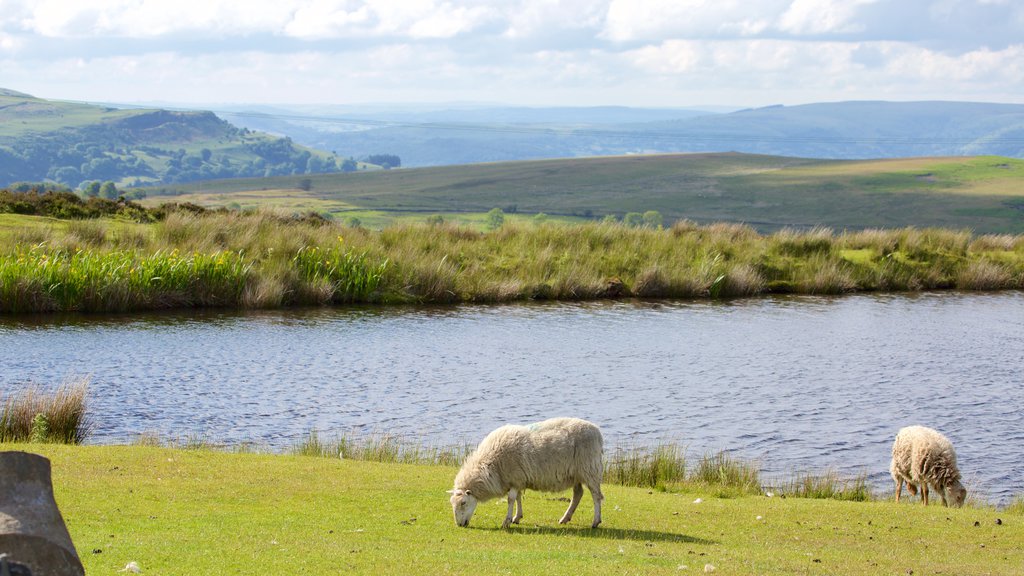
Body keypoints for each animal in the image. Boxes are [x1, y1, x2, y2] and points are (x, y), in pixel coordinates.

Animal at [446, 414, 602, 528]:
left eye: (463, 503)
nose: (459, 525)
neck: (490, 463)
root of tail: (597, 430)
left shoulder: (515, 477)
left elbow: (510, 499)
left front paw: (507, 521)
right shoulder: (517, 479)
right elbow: (518, 498)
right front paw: (517, 517)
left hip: (590, 469)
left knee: (596, 496)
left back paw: (595, 521)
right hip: (576, 473)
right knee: (578, 494)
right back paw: (565, 518)